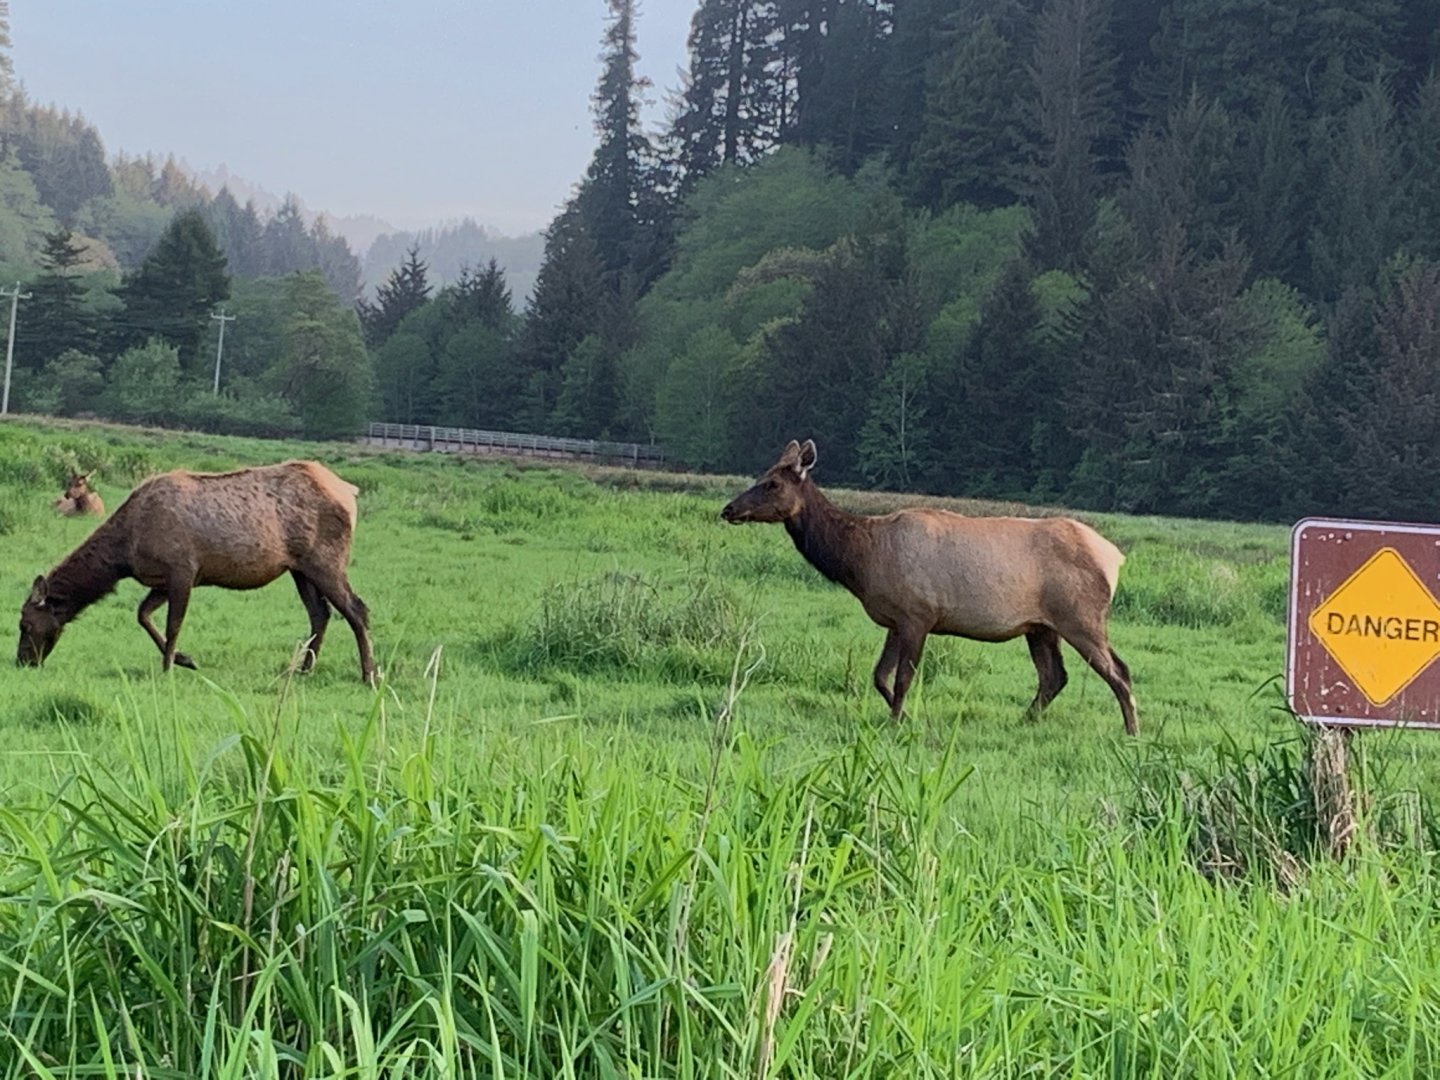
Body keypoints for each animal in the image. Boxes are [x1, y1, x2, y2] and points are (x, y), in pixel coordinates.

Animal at [18, 460, 377, 685]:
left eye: (25, 624)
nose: (22, 661)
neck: (124, 554)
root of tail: (350, 491)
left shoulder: (183, 570)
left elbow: (173, 624)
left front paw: (168, 668)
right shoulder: (161, 579)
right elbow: (143, 615)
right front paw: (184, 659)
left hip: (326, 559)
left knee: (357, 609)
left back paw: (369, 674)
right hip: (299, 568)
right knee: (321, 613)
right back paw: (304, 671)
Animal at [720, 440, 1137, 735]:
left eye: (772, 483)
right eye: (759, 477)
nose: (728, 509)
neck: (862, 561)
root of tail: (1115, 558)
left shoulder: (917, 613)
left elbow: (903, 677)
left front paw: (898, 721)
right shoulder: (895, 619)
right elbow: (879, 675)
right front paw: (903, 717)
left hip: (1080, 616)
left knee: (1118, 670)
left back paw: (1132, 731)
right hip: (1040, 626)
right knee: (1055, 676)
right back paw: (1025, 721)